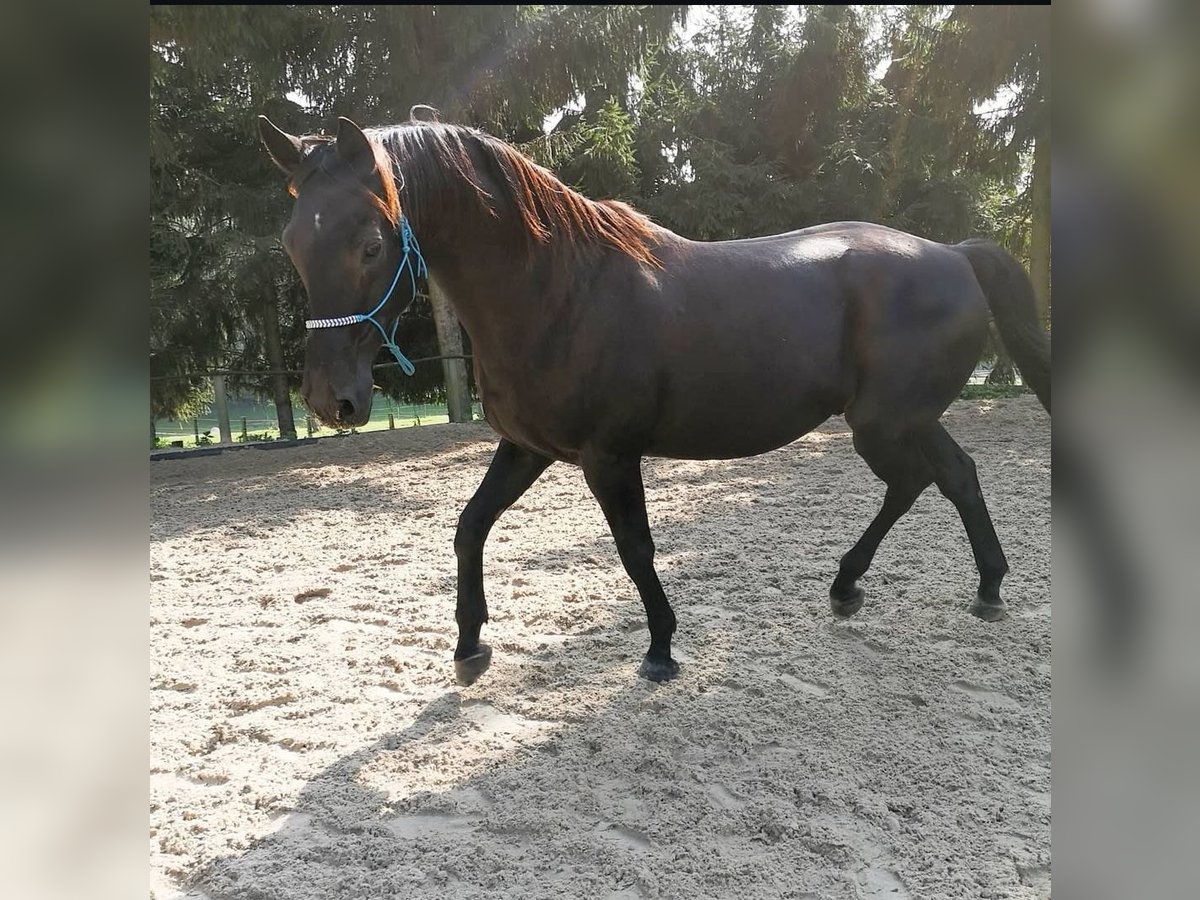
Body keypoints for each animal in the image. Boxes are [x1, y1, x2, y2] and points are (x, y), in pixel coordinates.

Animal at [258, 114, 1046, 691]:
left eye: (369, 243)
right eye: (292, 242)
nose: (332, 400)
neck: (557, 290)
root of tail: (955, 253)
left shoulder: (609, 456)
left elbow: (635, 548)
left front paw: (661, 649)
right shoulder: (528, 448)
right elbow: (470, 526)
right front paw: (469, 643)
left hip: (886, 422)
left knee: (931, 480)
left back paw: (921, 586)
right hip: (900, 421)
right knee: (944, 478)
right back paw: (918, 587)